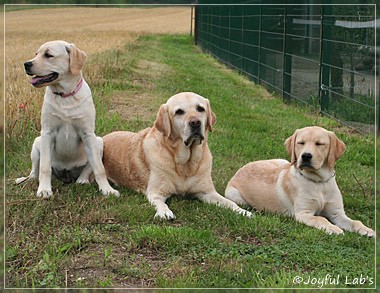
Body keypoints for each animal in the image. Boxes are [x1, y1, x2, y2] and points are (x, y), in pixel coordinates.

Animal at [15, 40, 119, 197]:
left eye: (48, 55)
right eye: (36, 54)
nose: (26, 64)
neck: (65, 95)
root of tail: (66, 174)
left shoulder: (88, 134)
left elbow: (99, 169)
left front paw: (107, 190)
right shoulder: (47, 133)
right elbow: (44, 167)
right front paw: (44, 190)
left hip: (99, 142)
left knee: (88, 169)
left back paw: (82, 180)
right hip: (37, 142)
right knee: (35, 171)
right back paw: (26, 179)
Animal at [103, 92, 252, 219]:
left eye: (200, 109)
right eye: (179, 112)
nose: (195, 122)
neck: (186, 164)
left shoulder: (207, 192)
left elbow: (229, 202)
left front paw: (242, 211)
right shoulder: (156, 192)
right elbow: (161, 203)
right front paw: (164, 212)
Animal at [226, 126, 374, 236]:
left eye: (320, 144)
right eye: (301, 143)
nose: (306, 156)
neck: (319, 182)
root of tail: (241, 168)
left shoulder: (337, 213)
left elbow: (355, 222)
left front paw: (367, 230)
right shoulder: (303, 213)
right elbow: (321, 218)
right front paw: (333, 228)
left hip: (282, 161)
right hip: (235, 195)